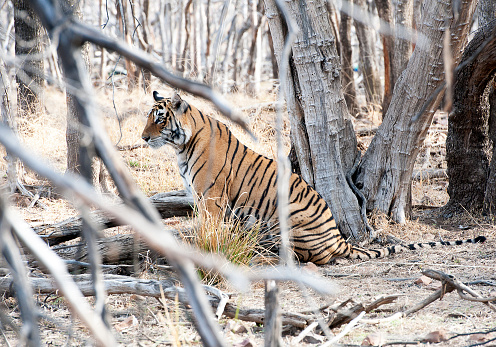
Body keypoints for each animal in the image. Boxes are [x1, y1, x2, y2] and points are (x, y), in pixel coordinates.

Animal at [141, 91, 486, 266]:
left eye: (160, 119)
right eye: (148, 117)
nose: (143, 138)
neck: (181, 146)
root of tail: (338, 238)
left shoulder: (211, 199)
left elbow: (206, 231)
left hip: (288, 216)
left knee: (315, 257)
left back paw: (271, 253)